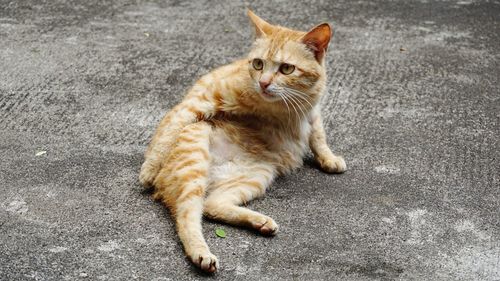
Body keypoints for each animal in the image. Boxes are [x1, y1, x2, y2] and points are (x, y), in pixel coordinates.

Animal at [139, 10, 346, 272]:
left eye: (287, 68)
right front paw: (148, 170)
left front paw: (328, 158)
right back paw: (201, 253)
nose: (264, 83)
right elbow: (168, 129)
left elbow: (318, 136)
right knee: (187, 216)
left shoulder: (313, 112)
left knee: (211, 205)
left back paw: (260, 222)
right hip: (194, 160)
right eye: (258, 64)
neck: (283, 109)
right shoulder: (198, 100)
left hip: (255, 176)